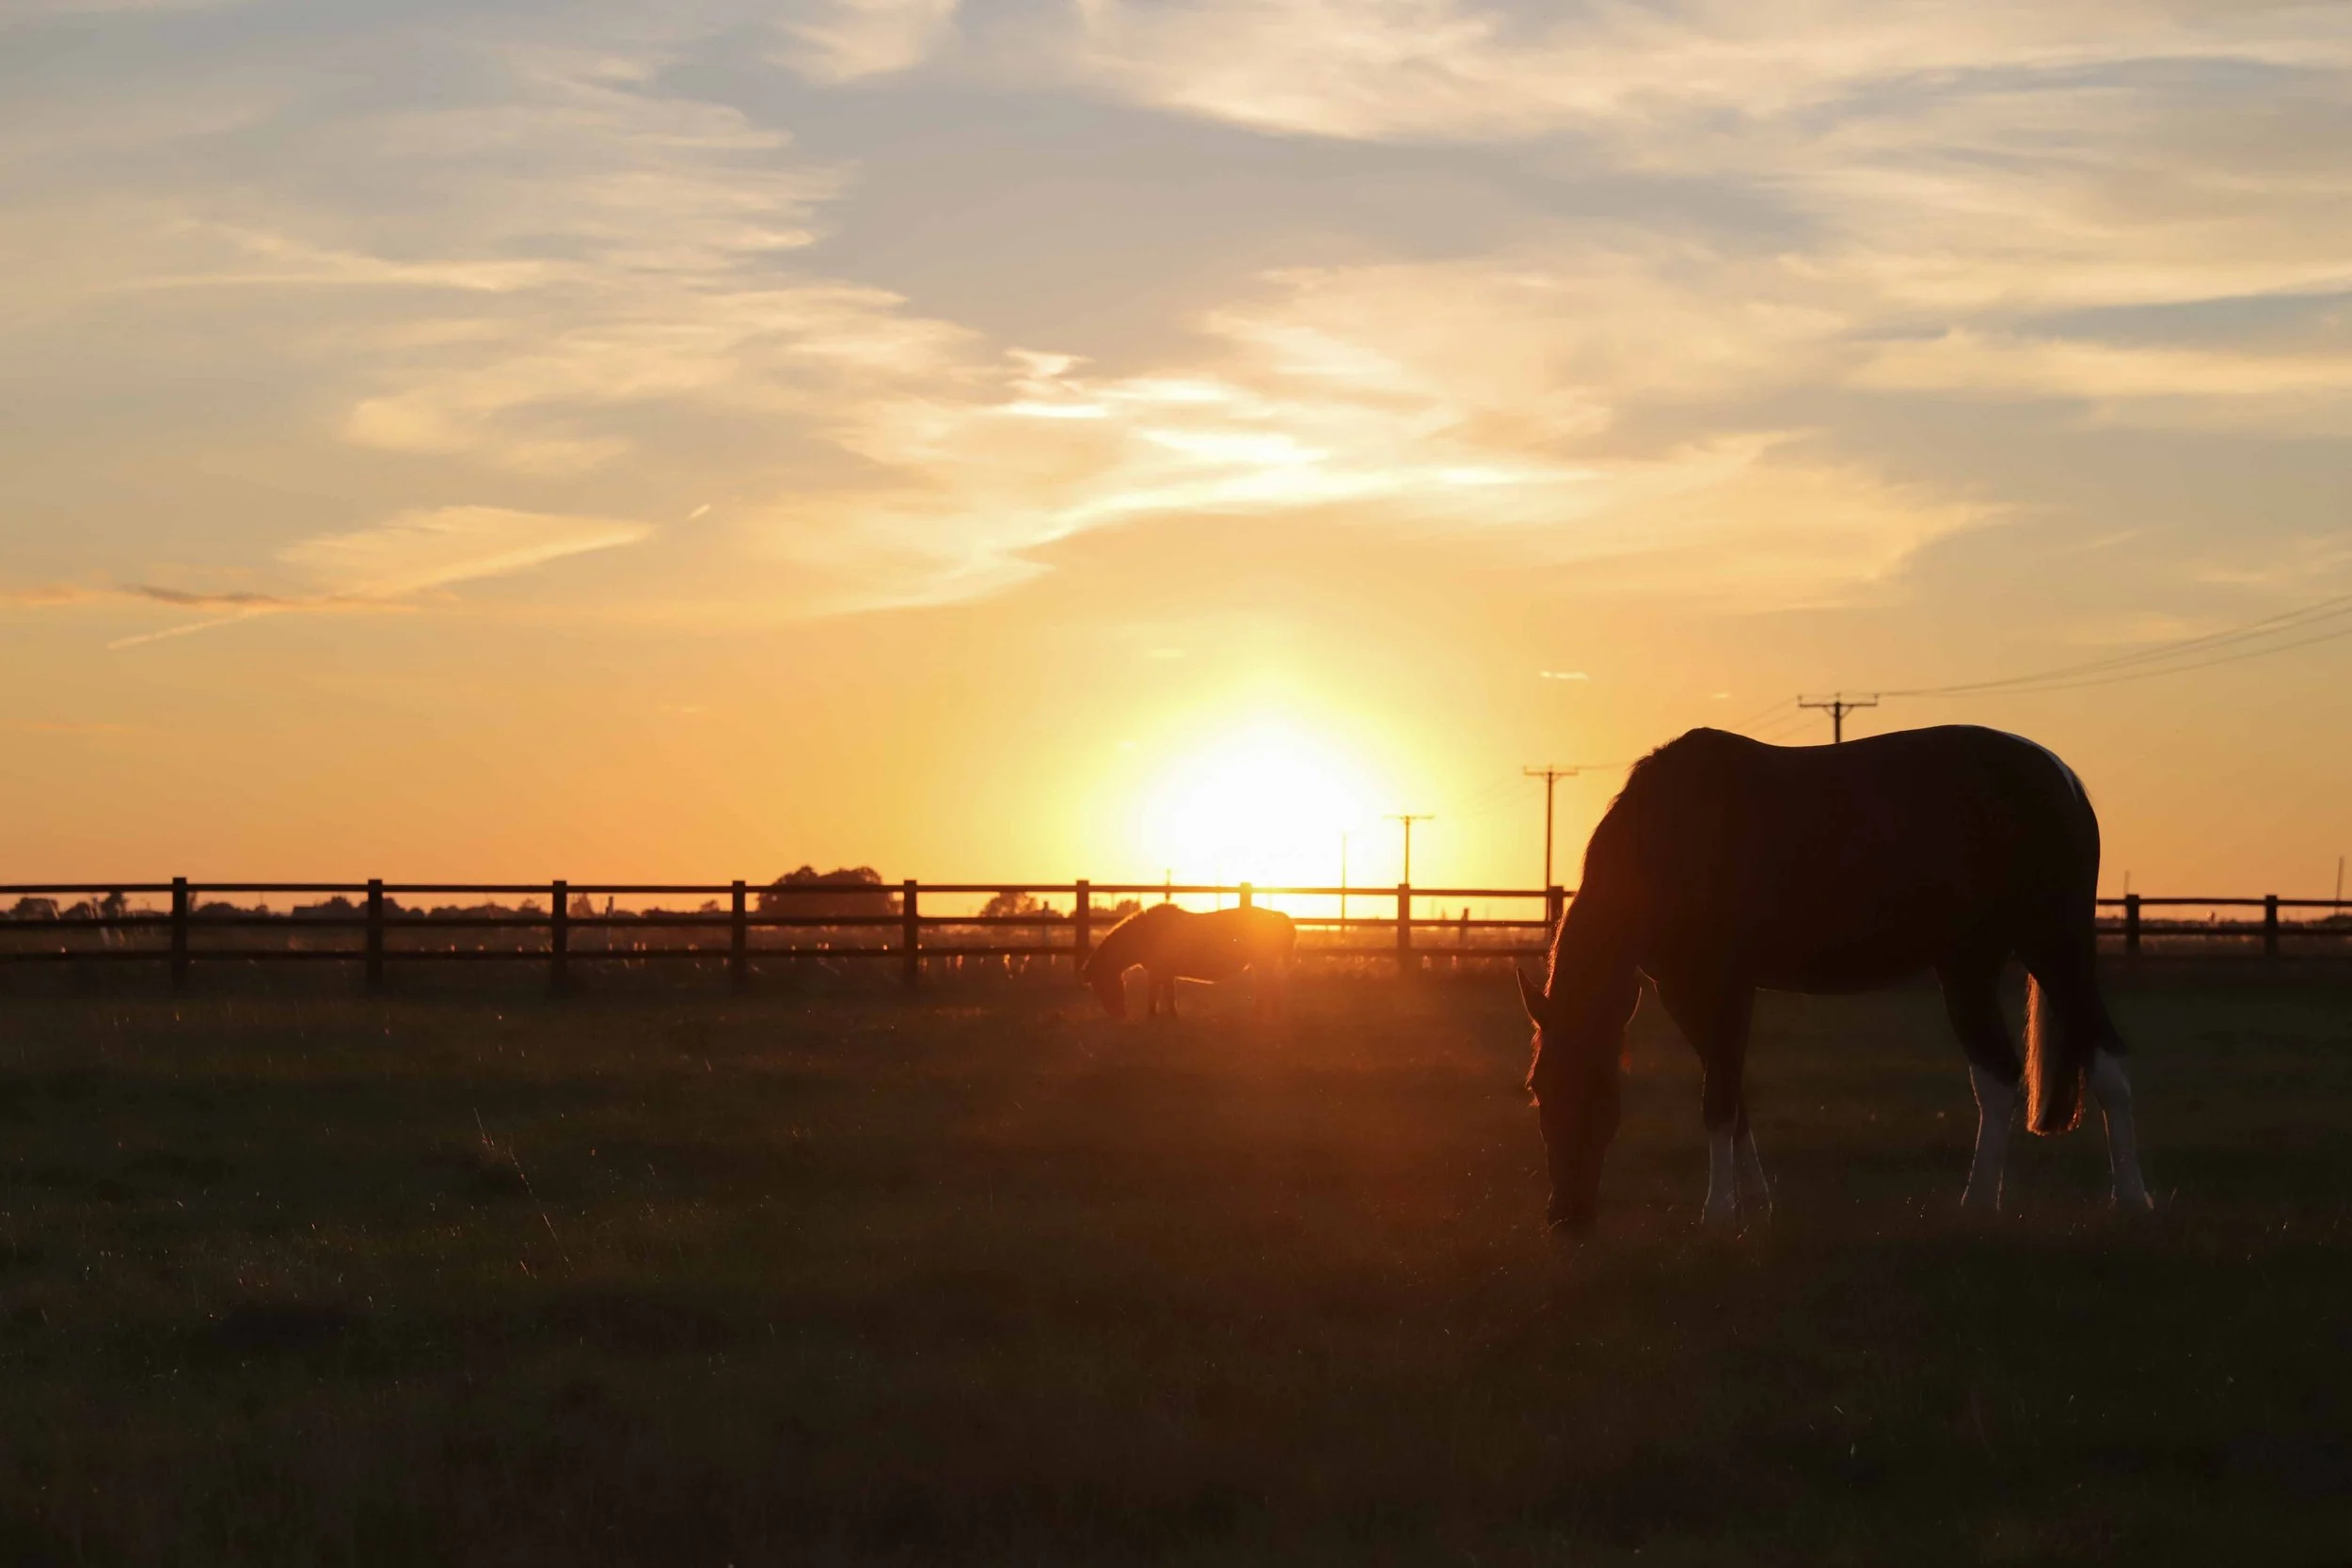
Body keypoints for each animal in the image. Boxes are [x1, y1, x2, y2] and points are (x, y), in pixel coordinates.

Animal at [1082, 903, 1297, 1019]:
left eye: (1100, 985)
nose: (1119, 1016)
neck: (1147, 933)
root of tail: (1280, 915)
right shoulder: (1164, 973)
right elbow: (1167, 996)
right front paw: (1169, 1018)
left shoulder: (1158, 972)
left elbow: (1156, 996)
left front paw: (1154, 1018)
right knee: (1268, 988)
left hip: (1263, 963)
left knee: (1269, 988)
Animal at [1519, 725, 2151, 1236]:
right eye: (1538, 1090)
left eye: (1592, 1090)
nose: (1566, 1219)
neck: (1671, 835)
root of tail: (2061, 778)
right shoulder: (1683, 992)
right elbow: (1735, 1097)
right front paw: (1756, 1205)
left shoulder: (1725, 988)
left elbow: (1718, 1099)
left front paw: (1718, 1214)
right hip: (1969, 964)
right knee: (1997, 1075)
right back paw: (1977, 1207)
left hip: (2054, 945)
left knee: (2106, 1063)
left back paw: (2130, 1201)